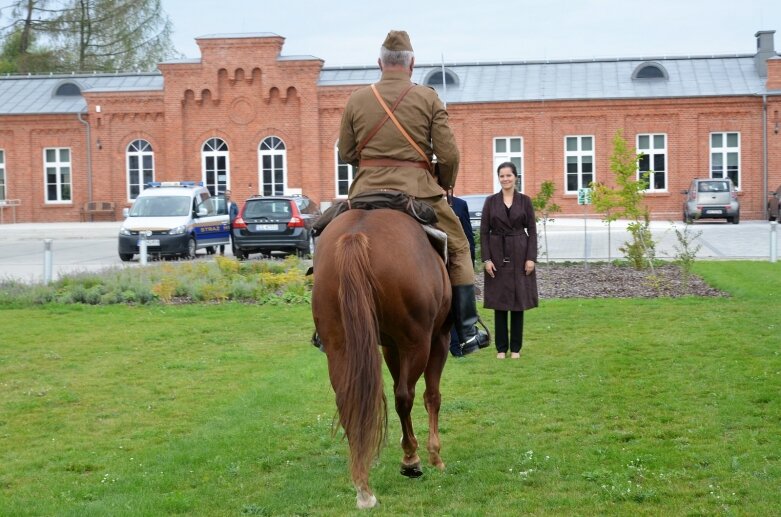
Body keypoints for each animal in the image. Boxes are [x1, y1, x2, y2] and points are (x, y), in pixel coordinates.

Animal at [310, 207, 450, 508]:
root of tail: (355, 236)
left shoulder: (390, 346)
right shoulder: (437, 339)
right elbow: (431, 396)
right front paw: (434, 455)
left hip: (340, 344)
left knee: (348, 400)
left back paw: (363, 488)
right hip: (417, 342)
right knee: (404, 396)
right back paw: (411, 459)